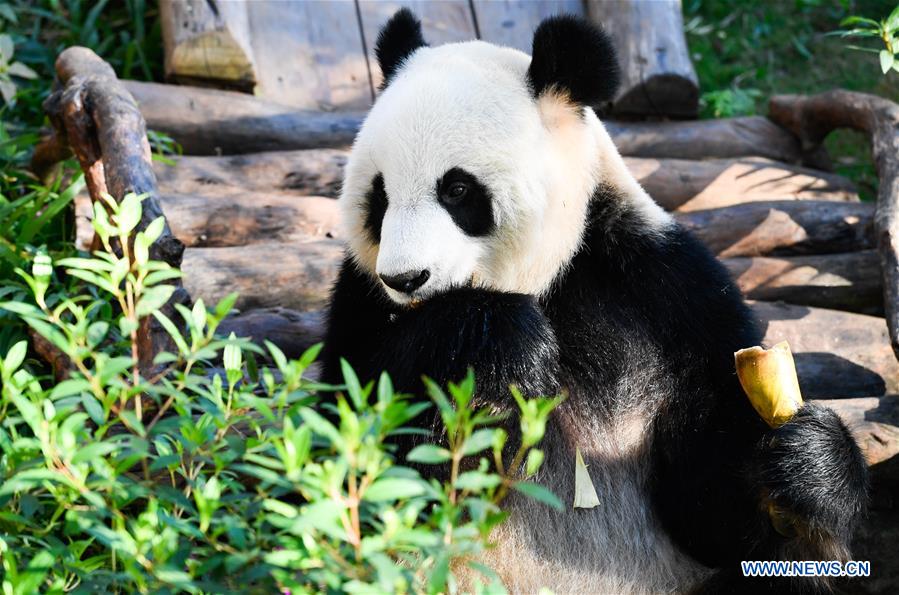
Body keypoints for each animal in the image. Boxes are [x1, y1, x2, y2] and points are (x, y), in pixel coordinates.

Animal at [321, 9, 868, 593]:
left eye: (457, 190)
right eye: (379, 196)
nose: (405, 278)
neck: (541, 283)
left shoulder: (662, 290)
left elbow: (710, 509)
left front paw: (809, 464)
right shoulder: (360, 300)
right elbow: (350, 448)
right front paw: (502, 342)